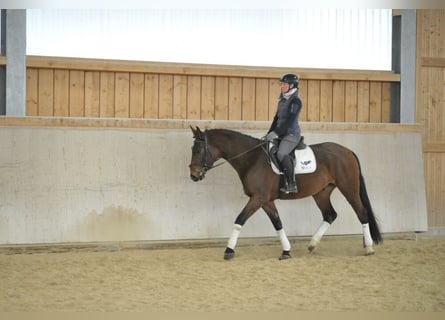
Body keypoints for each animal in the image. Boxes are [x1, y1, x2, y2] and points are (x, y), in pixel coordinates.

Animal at [188, 125, 382, 260]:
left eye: (198, 150)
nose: (193, 175)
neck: (252, 159)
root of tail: (347, 151)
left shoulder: (258, 198)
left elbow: (239, 220)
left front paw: (229, 251)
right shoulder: (266, 200)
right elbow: (278, 223)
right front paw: (286, 251)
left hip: (349, 189)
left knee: (362, 213)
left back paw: (369, 248)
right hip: (321, 193)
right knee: (330, 215)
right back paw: (312, 245)